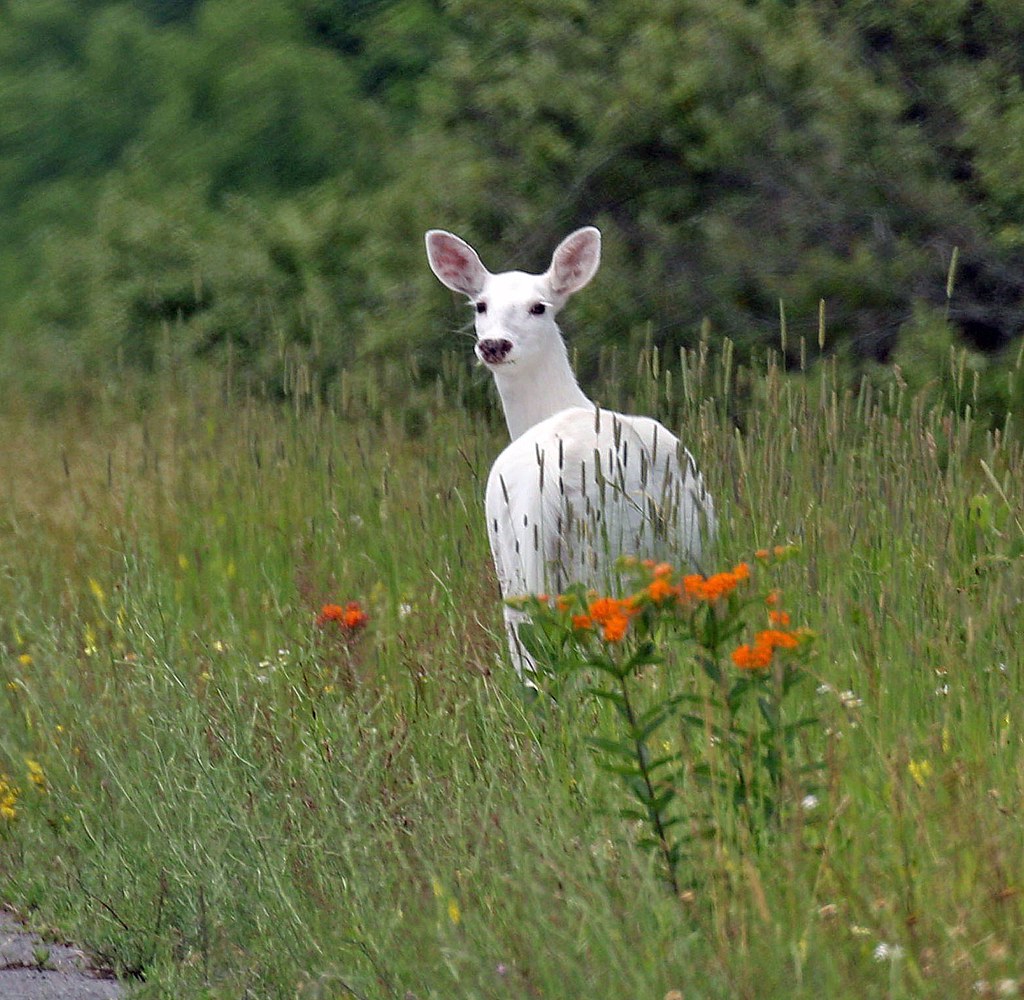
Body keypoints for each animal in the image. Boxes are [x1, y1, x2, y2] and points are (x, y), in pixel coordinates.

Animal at [425, 226, 715, 681]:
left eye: (538, 306)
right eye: (481, 305)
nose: (494, 345)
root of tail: (549, 485)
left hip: (516, 570)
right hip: (606, 557)